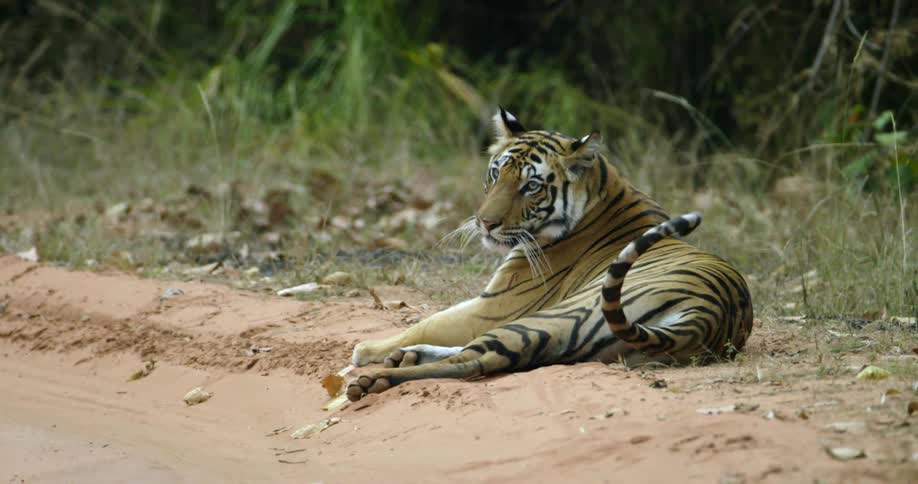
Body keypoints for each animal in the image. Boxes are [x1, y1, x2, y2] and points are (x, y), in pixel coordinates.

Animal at [346, 107, 753, 401]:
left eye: (531, 186)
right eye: (495, 174)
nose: (485, 223)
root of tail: (706, 317)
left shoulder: (496, 305)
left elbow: (428, 320)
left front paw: (366, 348)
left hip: (557, 315)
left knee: (475, 359)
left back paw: (375, 377)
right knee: (486, 355)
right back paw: (403, 359)